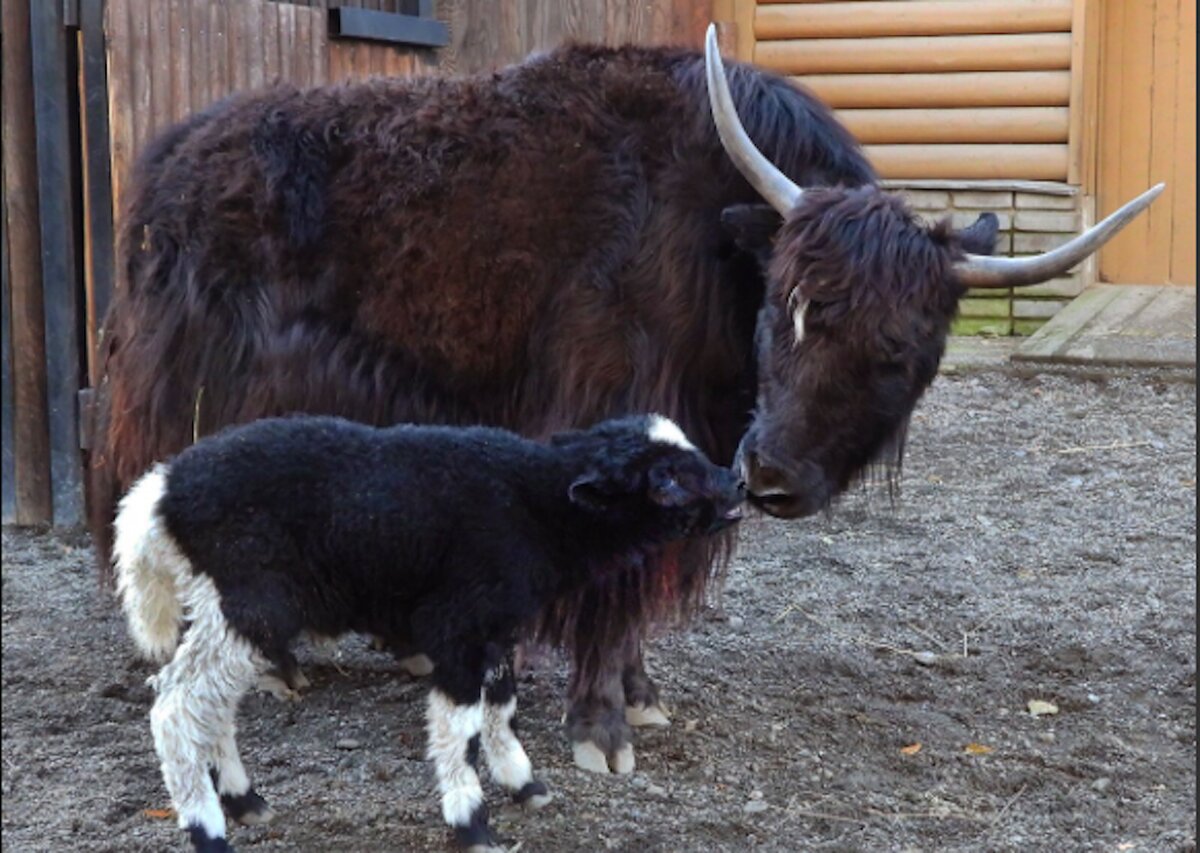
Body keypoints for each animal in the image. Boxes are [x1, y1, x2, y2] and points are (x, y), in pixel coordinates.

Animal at [117, 415, 744, 853]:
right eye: (665, 480)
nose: (736, 484)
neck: (536, 507)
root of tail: (159, 494)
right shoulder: (458, 623)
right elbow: (457, 725)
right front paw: (472, 822)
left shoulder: (495, 627)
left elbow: (501, 706)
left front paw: (523, 783)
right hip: (247, 602)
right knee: (176, 706)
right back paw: (207, 828)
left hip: (227, 607)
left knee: (212, 706)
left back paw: (244, 800)